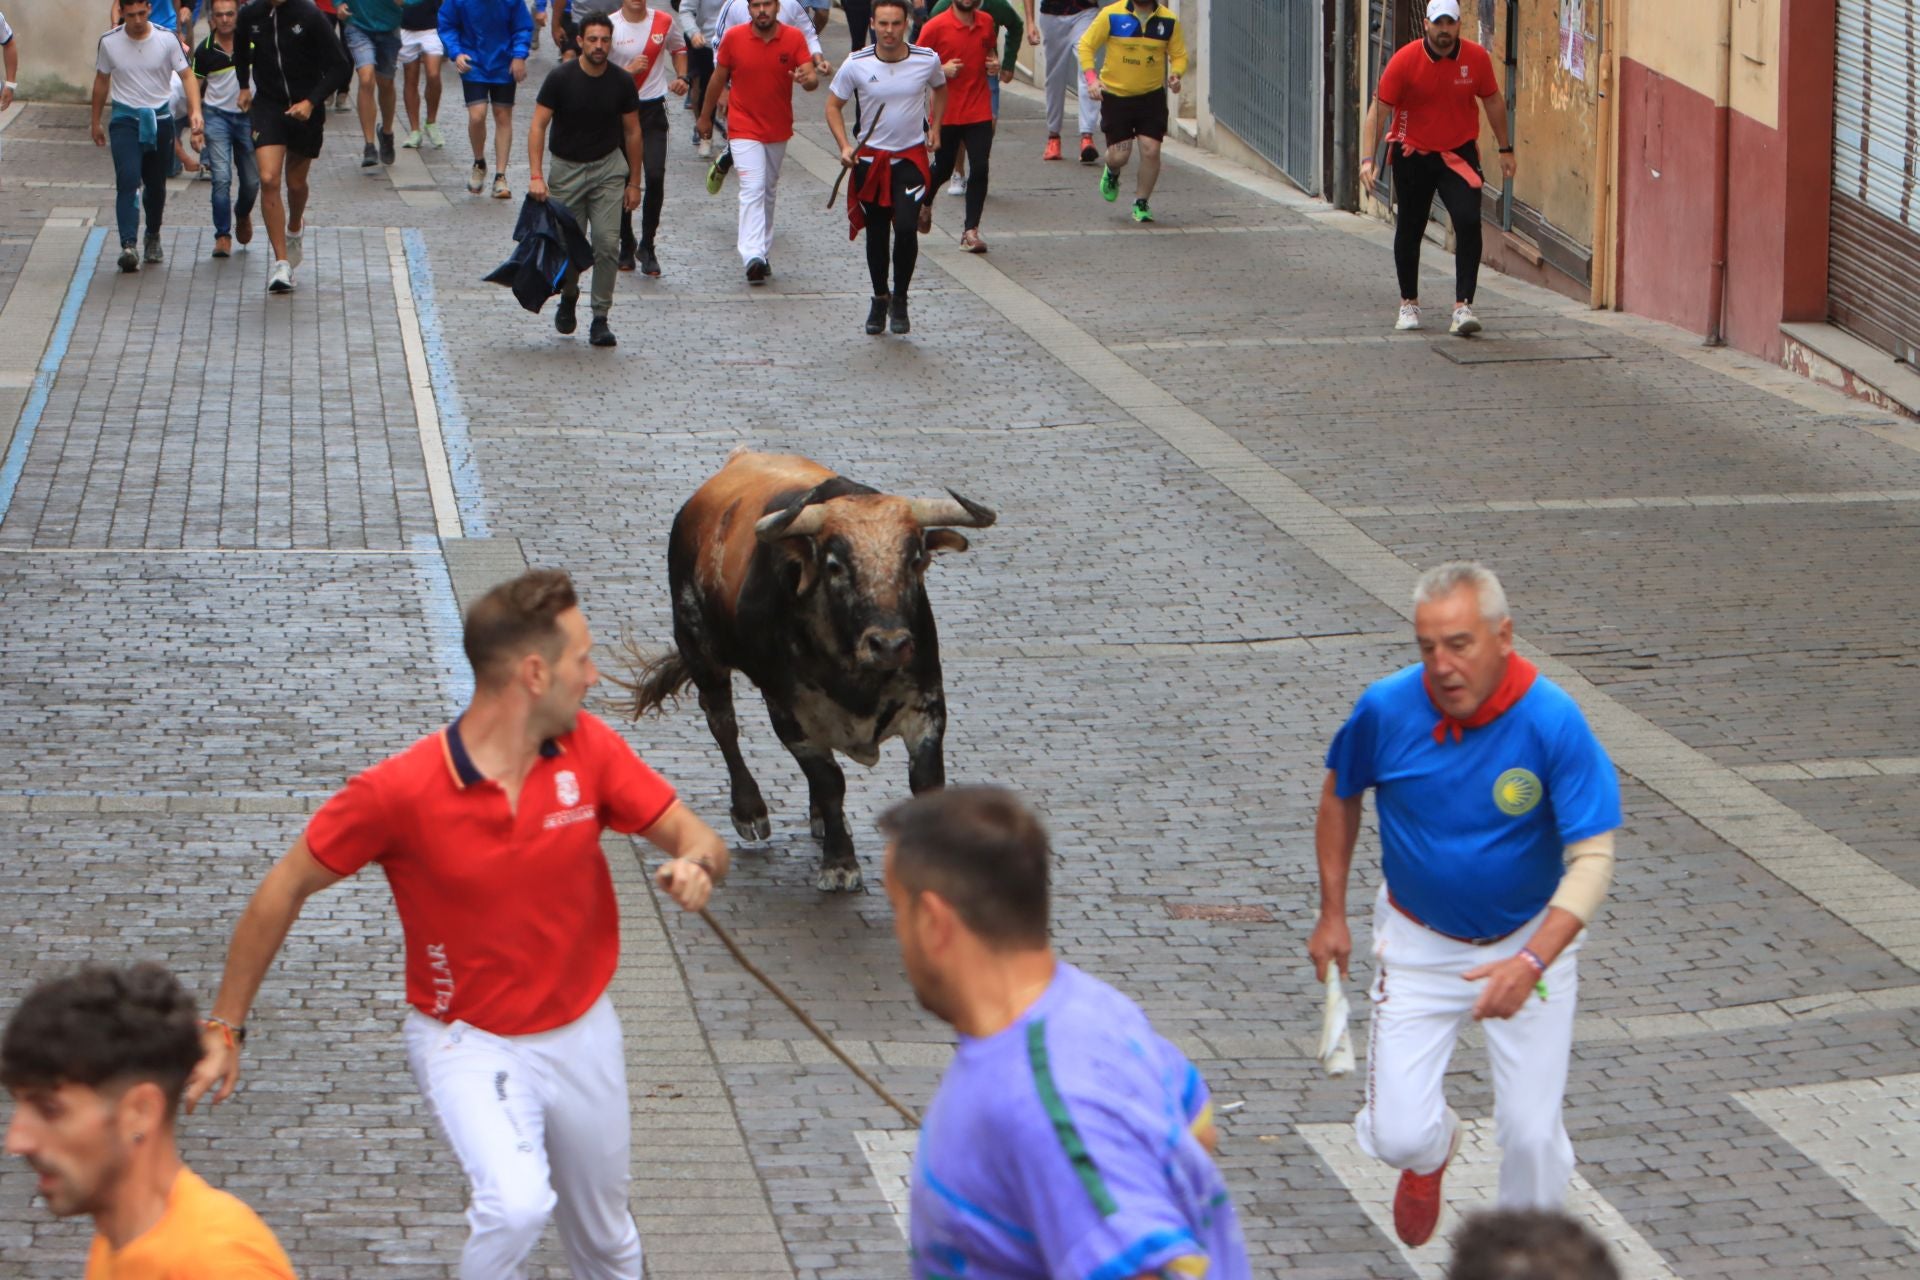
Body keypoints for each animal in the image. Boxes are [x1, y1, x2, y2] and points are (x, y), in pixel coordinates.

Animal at [622, 450, 998, 890]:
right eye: (834, 564)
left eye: (916, 559)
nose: (890, 644)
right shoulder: (790, 715)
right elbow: (829, 780)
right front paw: (839, 863)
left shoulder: (927, 706)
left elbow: (925, 781)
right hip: (699, 650)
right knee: (723, 725)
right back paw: (750, 810)